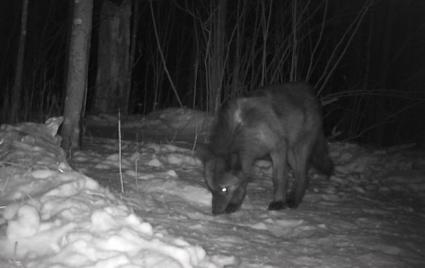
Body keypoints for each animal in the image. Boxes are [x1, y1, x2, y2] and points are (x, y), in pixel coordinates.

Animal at [200, 81, 332, 214]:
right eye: (211, 189)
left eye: (224, 189)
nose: (215, 212)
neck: (241, 128)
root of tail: (309, 89)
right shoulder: (248, 157)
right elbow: (242, 182)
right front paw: (235, 204)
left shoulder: (278, 148)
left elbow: (279, 178)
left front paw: (278, 202)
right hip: (290, 154)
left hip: (298, 150)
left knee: (302, 176)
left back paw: (294, 201)